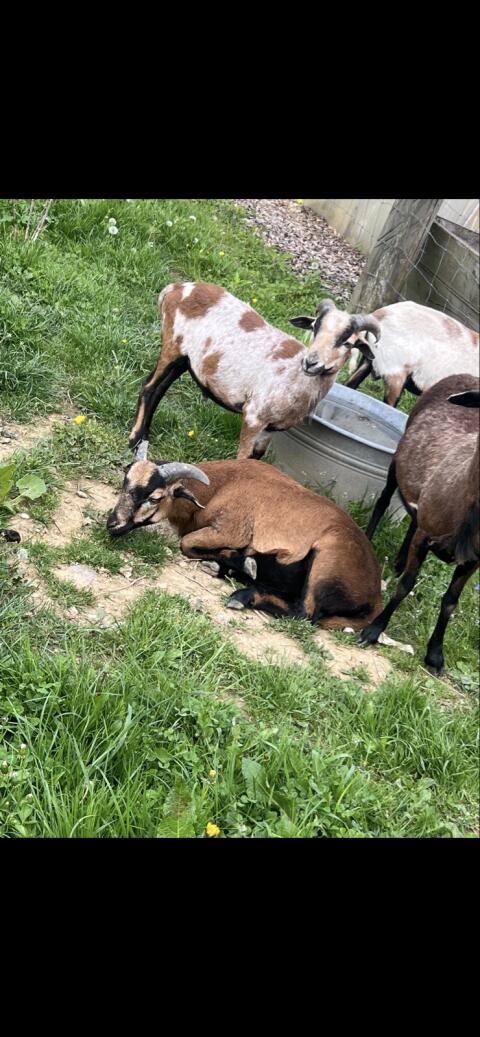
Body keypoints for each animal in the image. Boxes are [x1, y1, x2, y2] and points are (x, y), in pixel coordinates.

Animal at [107, 457, 382, 630]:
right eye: (125, 482)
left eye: (155, 497)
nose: (112, 524)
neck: (221, 487)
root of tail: (374, 598)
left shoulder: (229, 531)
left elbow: (186, 544)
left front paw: (245, 564)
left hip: (326, 560)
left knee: (304, 613)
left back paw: (242, 593)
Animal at [128, 282, 381, 461]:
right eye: (315, 327)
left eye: (347, 342)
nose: (311, 363)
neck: (295, 378)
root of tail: (176, 288)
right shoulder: (253, 415)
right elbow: (242, 457)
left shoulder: (272, 429)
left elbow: (256, 459)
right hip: (172, 345)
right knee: (149, 387)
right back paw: (134, 440)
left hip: (186, 360)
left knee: (160, 389)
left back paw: (145, 438)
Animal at [358, 374, 479, 675]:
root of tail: (465, 376)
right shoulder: (426, 537)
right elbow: (405, 585)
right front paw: (374, 630)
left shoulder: (473, 561)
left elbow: (450, 603)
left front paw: (435, 655)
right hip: (397, 461)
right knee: (383, 502)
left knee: (413, 518)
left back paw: (399, 560)